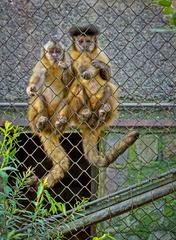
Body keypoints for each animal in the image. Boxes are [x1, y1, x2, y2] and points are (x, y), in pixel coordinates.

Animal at [26, 40, 74, 188]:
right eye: (51, 51)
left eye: (58, 51)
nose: (55, 56)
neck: (53, 66)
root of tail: (49, 128)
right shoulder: (40, 64)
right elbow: (37, 79)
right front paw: (30, 88)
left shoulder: (68, 60)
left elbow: (70, 82)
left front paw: (64, 67)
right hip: (34, 118)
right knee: (38, 96)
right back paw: (40, 124)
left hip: (54, 119)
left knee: (66, 100)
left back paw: (59, 125)